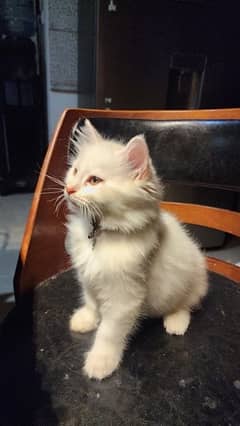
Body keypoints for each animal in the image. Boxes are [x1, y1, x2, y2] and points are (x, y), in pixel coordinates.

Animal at [63, 118, 208, 382]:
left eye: (94, 180)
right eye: (75, 171)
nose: (69, 189)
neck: (101, 233)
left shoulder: (125, 296)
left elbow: (108, 332)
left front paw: (101, 362)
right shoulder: (88, 277)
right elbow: (91, 301)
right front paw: (87, 319)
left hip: (192, 283)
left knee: (185, 304)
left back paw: (176, 322)